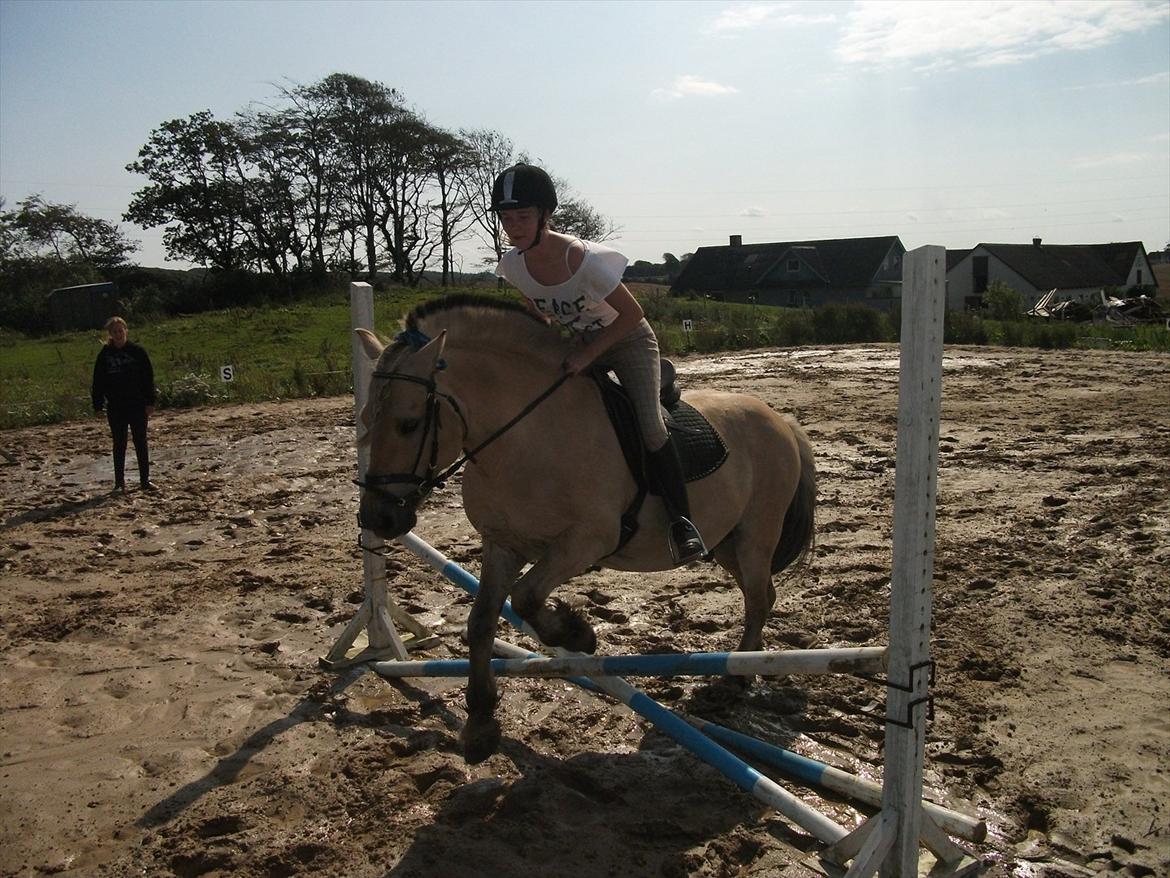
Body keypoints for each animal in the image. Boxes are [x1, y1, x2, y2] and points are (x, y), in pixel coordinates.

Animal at [355, 296, 814, 763]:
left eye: (409, 424)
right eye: (367, 420)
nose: (378, 520)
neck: (525, 439)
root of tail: (781, 420)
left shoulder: (586, 541)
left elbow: (525, 596)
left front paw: (578, 634)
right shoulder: (502, 544)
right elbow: (482, 621)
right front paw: (481, 725)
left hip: (755, 535)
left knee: (757, 598)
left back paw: (735, 678)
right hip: (726, 543)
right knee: (763, 594)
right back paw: (742, 667)